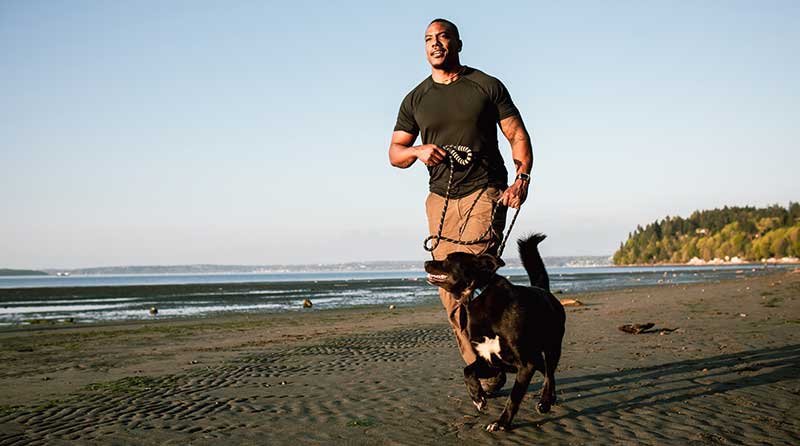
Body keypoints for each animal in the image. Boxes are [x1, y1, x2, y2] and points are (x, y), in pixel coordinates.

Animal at [422, 233, 564, 432]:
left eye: (449, 259)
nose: (426, 261)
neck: (476, 294)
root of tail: (544, 290)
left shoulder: (525, 365)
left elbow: (514, 397)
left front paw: (501, 423)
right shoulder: (488, 361)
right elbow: (467, 370)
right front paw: (478, 398)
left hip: (552, 348)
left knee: (549, 374)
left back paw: (545, 402)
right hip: (536, 357)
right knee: (546, 372)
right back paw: (550, 398)